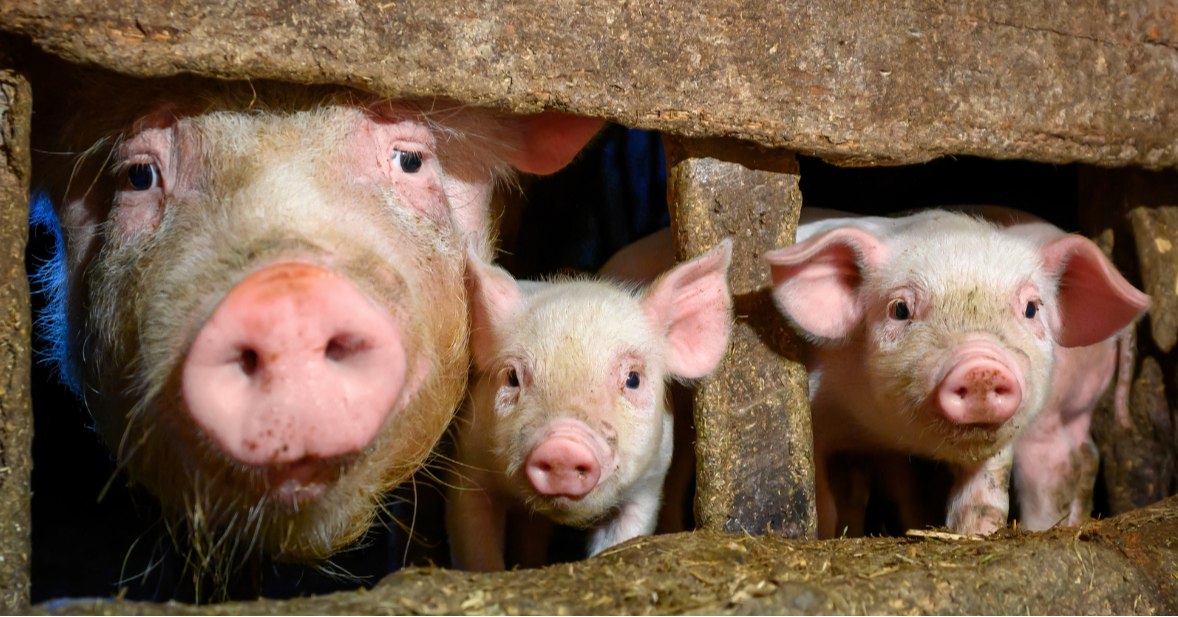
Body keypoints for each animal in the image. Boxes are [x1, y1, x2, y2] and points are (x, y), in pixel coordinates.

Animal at [446, 240, 733, 571]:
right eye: (512, 377)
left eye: (633, 379)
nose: (563, 446)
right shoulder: (468, 469)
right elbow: (478, 551)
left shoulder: (648, 485)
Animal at [765, 209, 1149, 537]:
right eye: (900, 309)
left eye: (1031, 308)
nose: (982, 367)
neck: (873, 431)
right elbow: (821, 499)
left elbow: (984, 501)